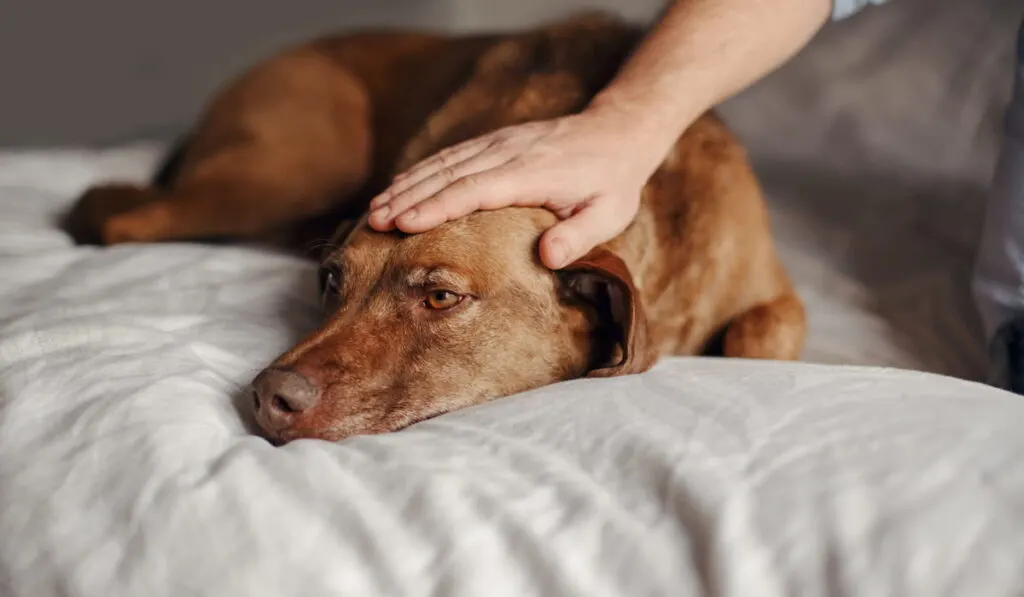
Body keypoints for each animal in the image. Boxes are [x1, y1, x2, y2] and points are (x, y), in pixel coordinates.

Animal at [68, 11, 811, 444]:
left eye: (441, 297)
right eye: (331, 281)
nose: (268, 397)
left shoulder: (772, 294)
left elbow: (761, 332)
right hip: (289, 169)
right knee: (121, 214)